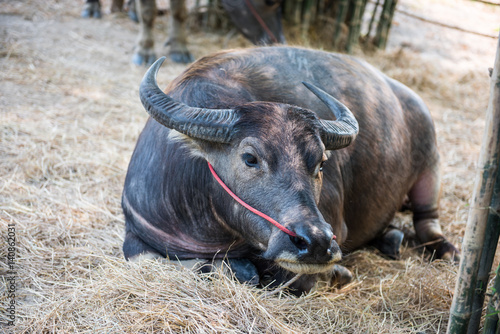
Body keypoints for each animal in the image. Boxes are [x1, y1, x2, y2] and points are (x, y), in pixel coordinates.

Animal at [83, 0, 286, 64]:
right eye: (270, 2)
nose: (278, 39)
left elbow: (179, 11)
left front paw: (179, 48)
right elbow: (149, 10)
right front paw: (145, 50)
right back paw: (92, 9)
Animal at [122, 45, 458, 294]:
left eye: (321, 162)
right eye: (250, 158)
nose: (317, 243)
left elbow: (287, 278)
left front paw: (337, 273)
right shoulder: (137, 227)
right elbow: (142, 257)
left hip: (431, 165)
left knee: (428, 221)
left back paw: (446, 250)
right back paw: (391, 238)